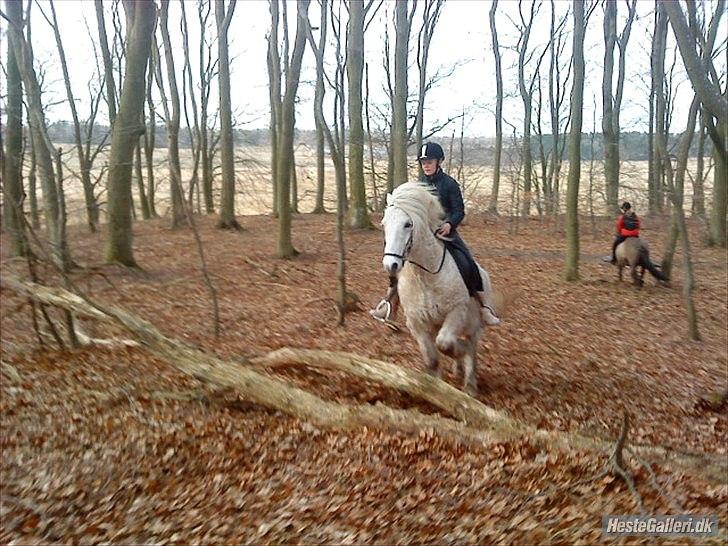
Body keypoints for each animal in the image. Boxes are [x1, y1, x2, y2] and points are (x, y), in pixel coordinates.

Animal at [382, 182, 494, 392]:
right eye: (384, 224)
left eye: (407, 224)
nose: (390, 265)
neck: (425, 277)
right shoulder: (417, 324)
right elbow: (432, 358)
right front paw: (434, 387)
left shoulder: (456, 313)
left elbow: (445, 344)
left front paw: (462, 355)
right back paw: (458, 370)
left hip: (474, 326)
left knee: (472, 348)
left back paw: (470, 384)